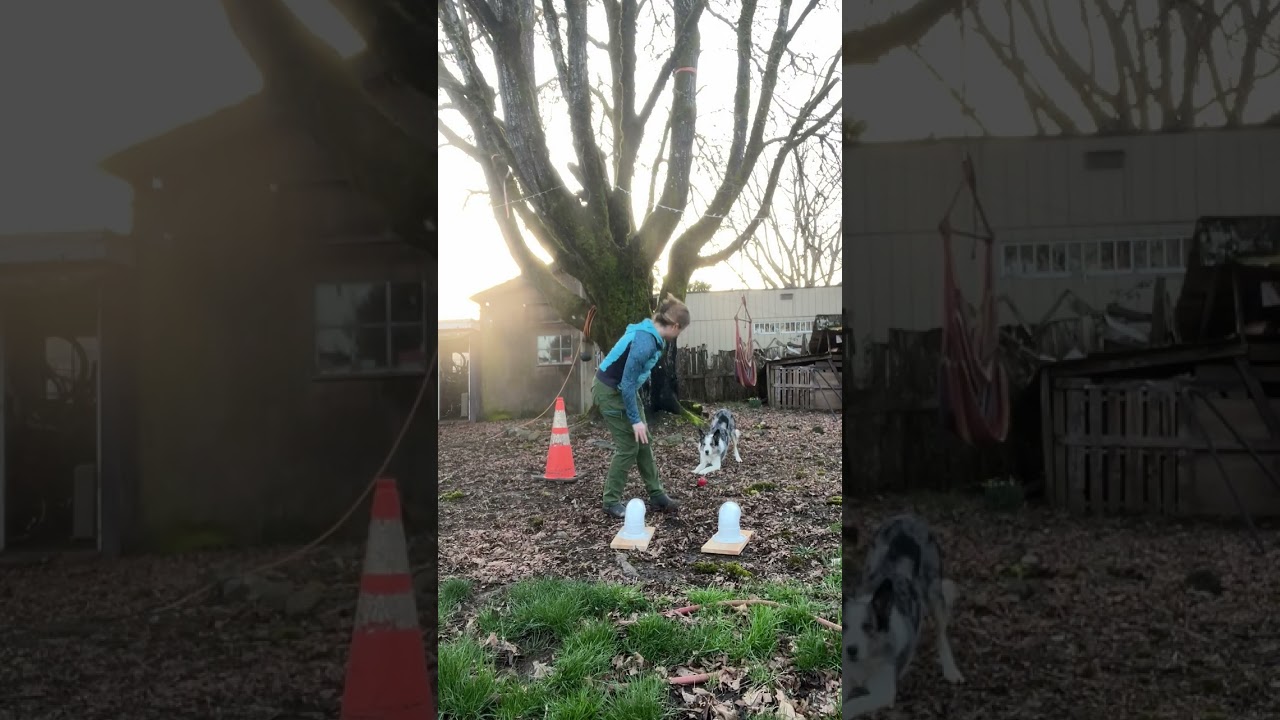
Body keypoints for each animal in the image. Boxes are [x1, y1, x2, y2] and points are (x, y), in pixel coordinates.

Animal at [843, 514, 963, 718]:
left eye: (868, 627)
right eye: (845, 626)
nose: (851, 650)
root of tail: (908, 517)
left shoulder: (884, 693)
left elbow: (851, 706)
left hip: (934, 592)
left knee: (941, 634)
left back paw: (950, 669)